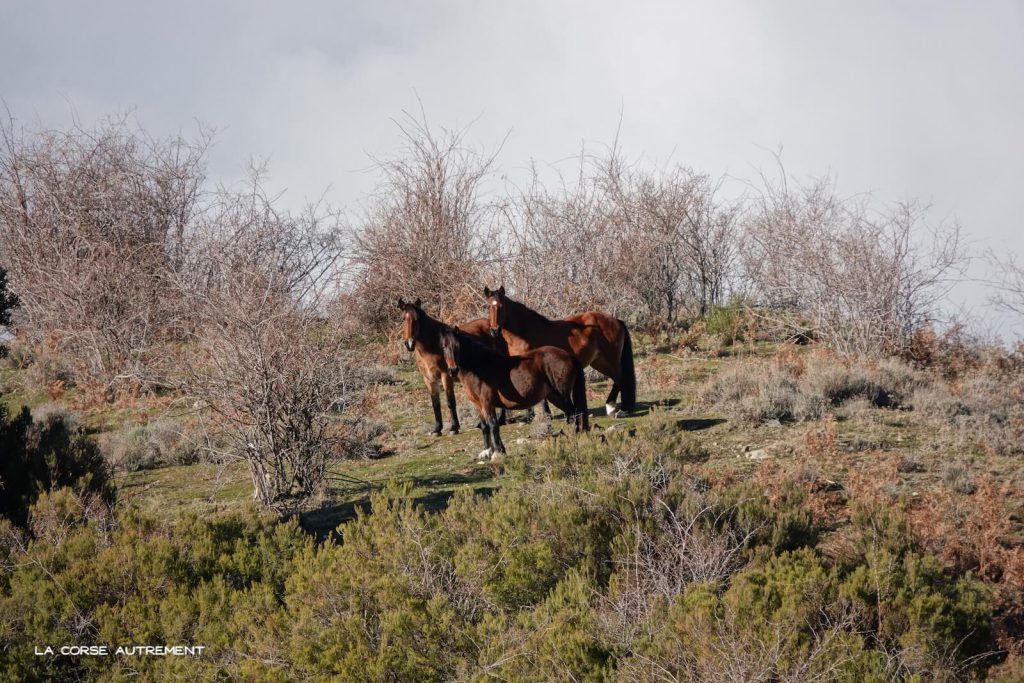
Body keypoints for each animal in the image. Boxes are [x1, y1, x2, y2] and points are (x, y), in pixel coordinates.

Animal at [440, 325, 593, 458]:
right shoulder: (478, 405)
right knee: (573, 414)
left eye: (457, 346)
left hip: (562, 395)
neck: (479, 368)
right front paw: (487, 451)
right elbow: (485, 427)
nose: (453, 370)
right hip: (554, 397)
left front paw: (498, 452)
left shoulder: (487, 403)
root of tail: (568, 356)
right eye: (444, 346)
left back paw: (575, 437)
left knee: (574, 414)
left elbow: (493, 425)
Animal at [479, 284, 630, 413]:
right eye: (488, 307)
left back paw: (620, 409)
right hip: (599, 362)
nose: (494, 331)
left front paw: (546, 415)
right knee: (618, 380)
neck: (525, 333)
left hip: (610, 360)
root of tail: (616, 320)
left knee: (621, 379)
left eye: (501, 306)